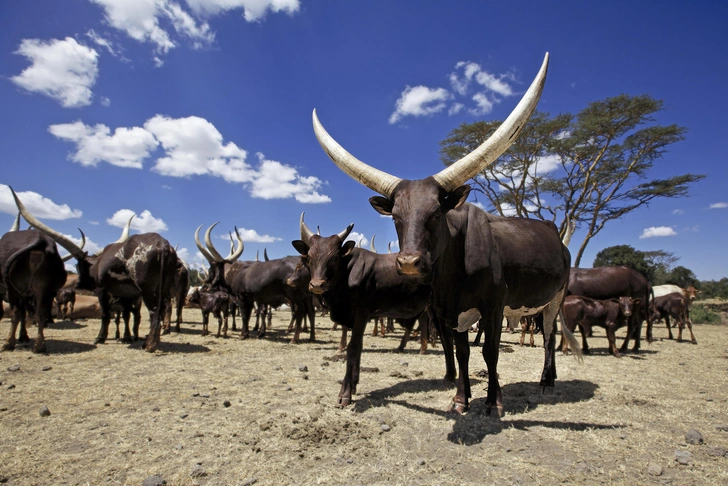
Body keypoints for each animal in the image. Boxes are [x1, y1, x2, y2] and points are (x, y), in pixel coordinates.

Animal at [12, 188, 177, 352]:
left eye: (78, 266)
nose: (78, 283)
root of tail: (162, 243)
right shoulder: (126, 293)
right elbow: (125, 315)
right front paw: (126, 337)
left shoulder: (102, 290)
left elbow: (105, 314)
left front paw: (100, 337)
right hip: (162, 288)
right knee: (160, 310)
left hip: (148, 289)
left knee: (154, 311)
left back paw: (150, 345)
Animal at [312, 55, 580, 416]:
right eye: (396, 217)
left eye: (436, 214)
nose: (409, 263)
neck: (456, 269)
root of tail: (558, 238)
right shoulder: (454, 311)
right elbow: (463, 352)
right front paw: (460, 399)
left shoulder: (493, 307)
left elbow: (490, 352)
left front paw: (493, 402)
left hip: (555, 298)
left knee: (551, 335)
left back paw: (547, 381)